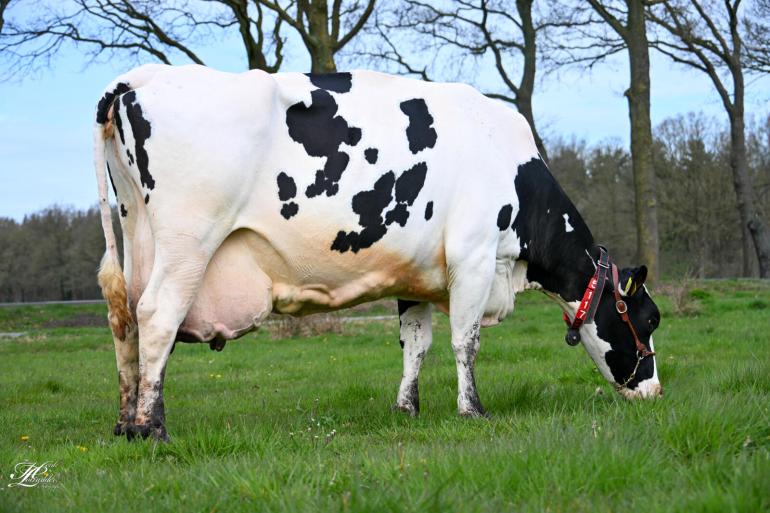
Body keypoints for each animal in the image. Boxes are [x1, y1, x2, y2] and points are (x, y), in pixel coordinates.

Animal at [93, 64, 662, 441]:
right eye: (649, 318)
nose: (655, 391)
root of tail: (140, 78)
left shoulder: (417, 276)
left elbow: (416, 345)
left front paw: (406, 408)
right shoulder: (474, 257)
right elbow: (466, 342)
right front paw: (473, 410)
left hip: (135, 233)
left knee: (125, 320)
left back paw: (124, 424)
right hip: (188, 242)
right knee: (157, 316)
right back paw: (152, 427)